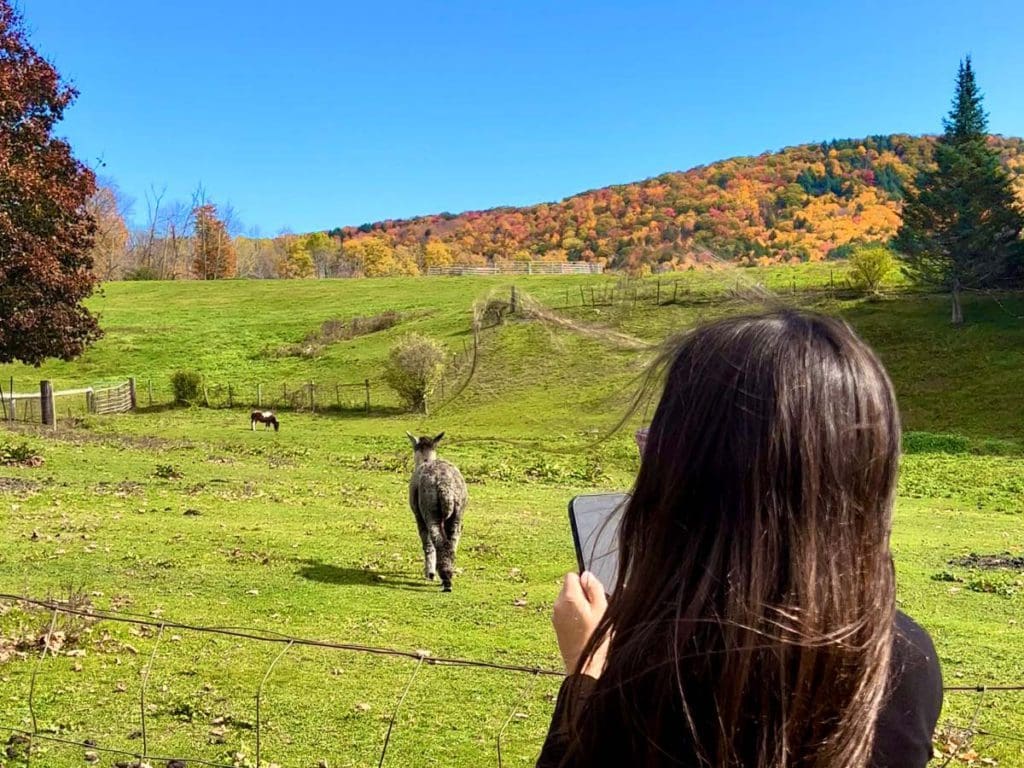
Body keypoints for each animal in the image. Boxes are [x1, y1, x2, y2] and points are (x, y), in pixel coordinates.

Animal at [409, 434, 468, 593]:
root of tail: (445, 487)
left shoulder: (419, 516)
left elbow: (427, 542)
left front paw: (429, 573)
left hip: (430, 509)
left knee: (437, 540)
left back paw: (444, 578)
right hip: (457, 513)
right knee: (452, 542)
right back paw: (448, 574)